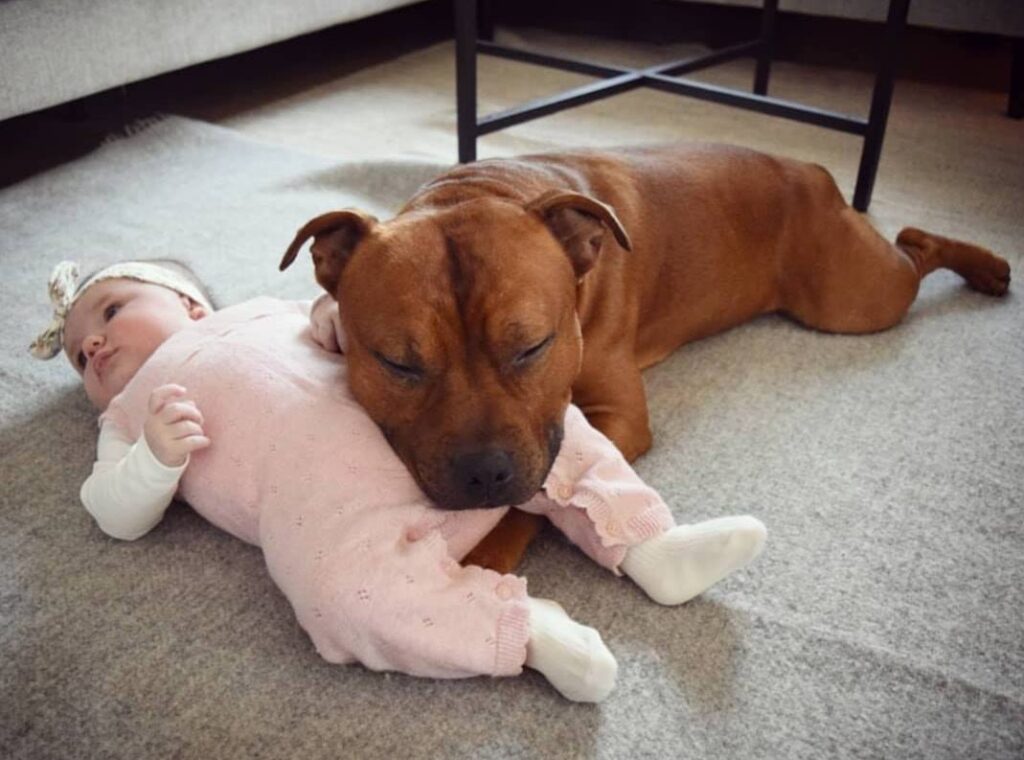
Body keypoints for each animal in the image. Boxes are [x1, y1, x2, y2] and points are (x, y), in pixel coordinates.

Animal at [281, 143, 1010, 573]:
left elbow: (533, 501)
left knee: (915, 245)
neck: (485, 189)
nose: (484, 474)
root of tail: (807, 167)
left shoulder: (616, 417)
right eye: (399, 364)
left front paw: (481, 556)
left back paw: (989, 266)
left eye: (532, 346)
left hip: (853, 299)